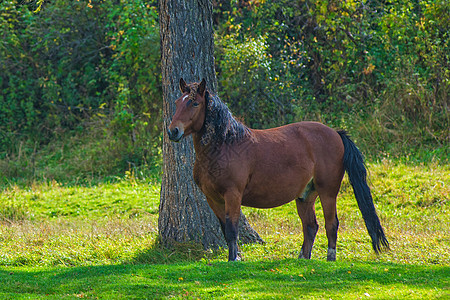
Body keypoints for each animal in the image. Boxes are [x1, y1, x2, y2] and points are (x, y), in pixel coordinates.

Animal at [167, 78, 388, 262]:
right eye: (177, 102)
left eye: (195, 103)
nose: (172, 131)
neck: (225, 145)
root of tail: (335, 133)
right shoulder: (213, 198)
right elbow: (225, 230)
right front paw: (234, 256)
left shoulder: (233, 195)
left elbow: (232, 229)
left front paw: (234, 260)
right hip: (305, 196)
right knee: (311, 226)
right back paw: (303, 259)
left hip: (328, 192)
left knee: (331, 224)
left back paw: (330, 258)